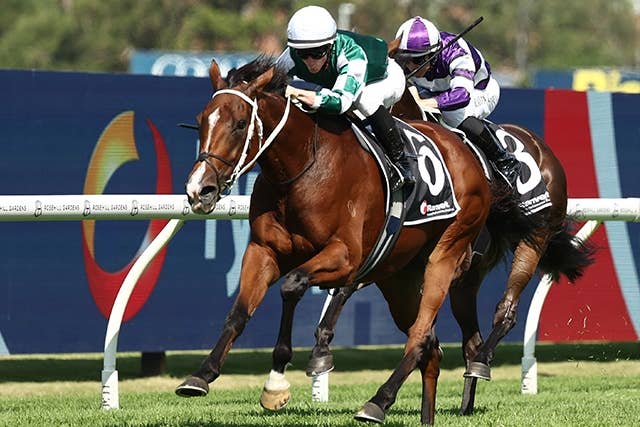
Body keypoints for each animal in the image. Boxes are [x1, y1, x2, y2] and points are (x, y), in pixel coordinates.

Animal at [178, 55, 493, 425]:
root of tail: (466, 151)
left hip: (446, 252)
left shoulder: (345, 258)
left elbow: (292, 285)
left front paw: (278, 379)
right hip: (398, 277)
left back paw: (377, 402)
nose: (199, 190)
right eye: (201, 121)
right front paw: (202, 374)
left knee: (418, 336)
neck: (302, 169)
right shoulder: (263, 251)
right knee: (430, 347)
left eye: (241, 124)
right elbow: (239, 312)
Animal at [307, 84, 595, 416]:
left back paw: (481, 363)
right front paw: (321, 348)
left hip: (534, 236)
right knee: (471, 339)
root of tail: (539, 145)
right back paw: (466, 404)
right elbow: (347, 285)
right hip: (468, 281)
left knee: (506, 311)